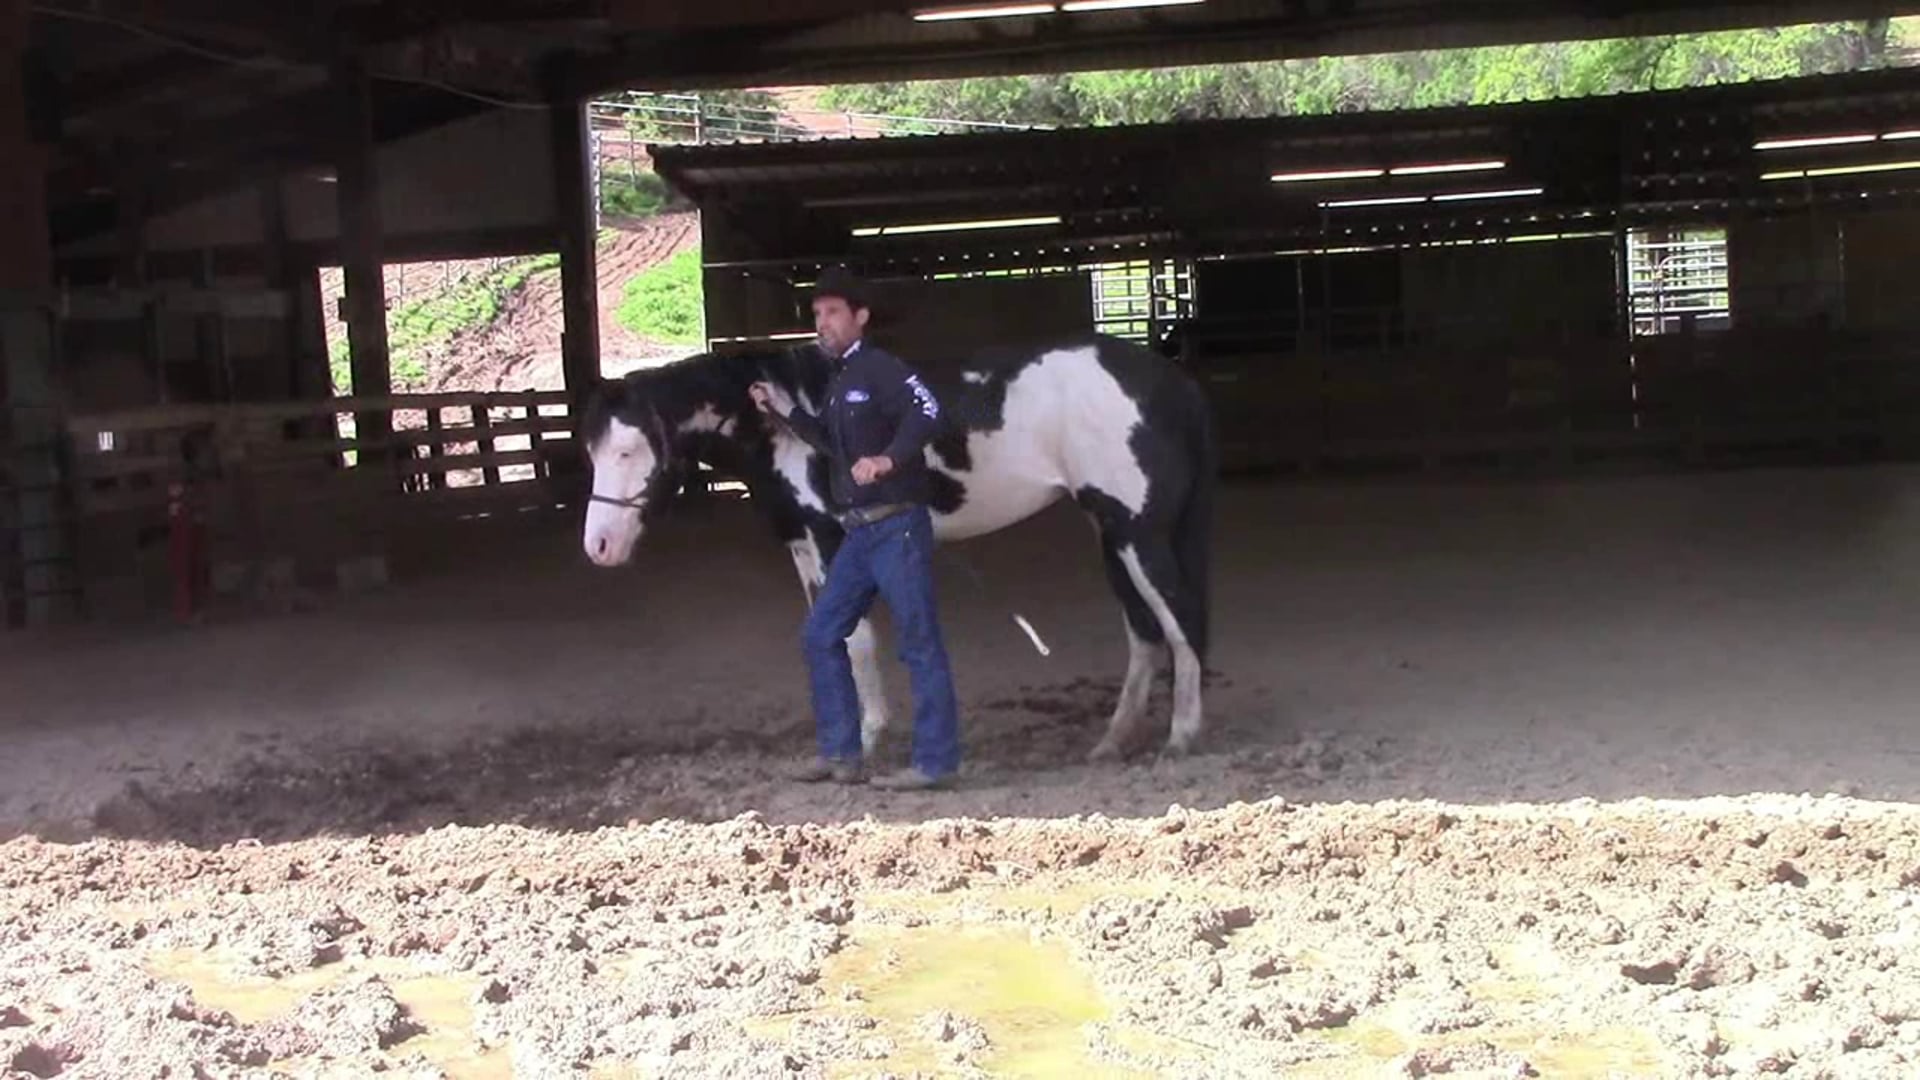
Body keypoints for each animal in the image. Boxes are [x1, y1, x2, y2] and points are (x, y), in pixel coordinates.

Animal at [578, 332, 1217, 762]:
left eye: (628, 451)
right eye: (591, 451)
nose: (599, 546)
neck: (789, 425)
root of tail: (1173, 383)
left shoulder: (832, 542)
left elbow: (856, 641)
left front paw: (866, 741)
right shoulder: (805, 549)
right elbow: (830, 638)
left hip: (1138, 534)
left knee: (1179, 621)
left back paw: (1182, 737)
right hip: (1112, 535)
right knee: (1144, 631)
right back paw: (1113, 742)